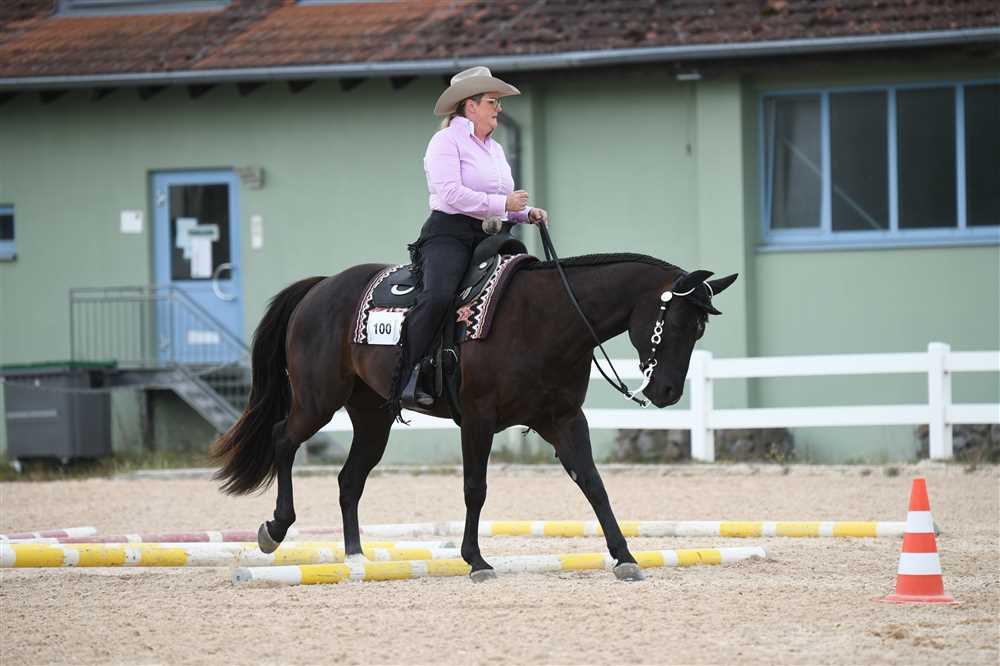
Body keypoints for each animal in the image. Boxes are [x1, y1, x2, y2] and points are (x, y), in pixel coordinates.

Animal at [211, 250, 737, 581]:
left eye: (700, 327)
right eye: (679, 322)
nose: (667, 392)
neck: (548, 316)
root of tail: (320, 288)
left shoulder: (564, 419)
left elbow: (592, 483)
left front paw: (624, 555)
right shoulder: (479, 418)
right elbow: (475, 488)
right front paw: (476, 560)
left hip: (371, 417)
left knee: (349, 479)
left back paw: (357, 558)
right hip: (318, 399)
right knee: (283, 438)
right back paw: (276, 528)